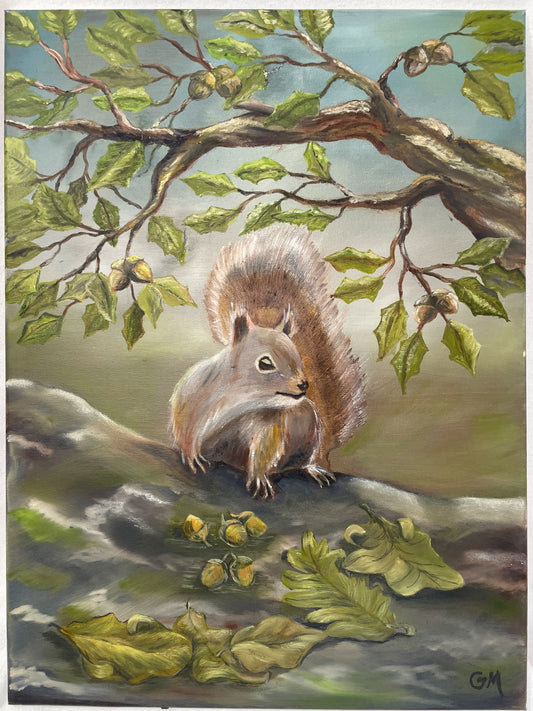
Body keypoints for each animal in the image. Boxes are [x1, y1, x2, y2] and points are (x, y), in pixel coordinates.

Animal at [170, 225, 365, 498]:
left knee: (307, 458)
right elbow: (184, 424)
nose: (304, 385)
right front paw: (190, 454)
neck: (242, 397)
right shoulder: (193, 395)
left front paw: (259, 476)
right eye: (265, 363)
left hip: (313, 434)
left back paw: (313, 468)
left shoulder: (269, 420)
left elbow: (264, 447)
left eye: (298, 356)